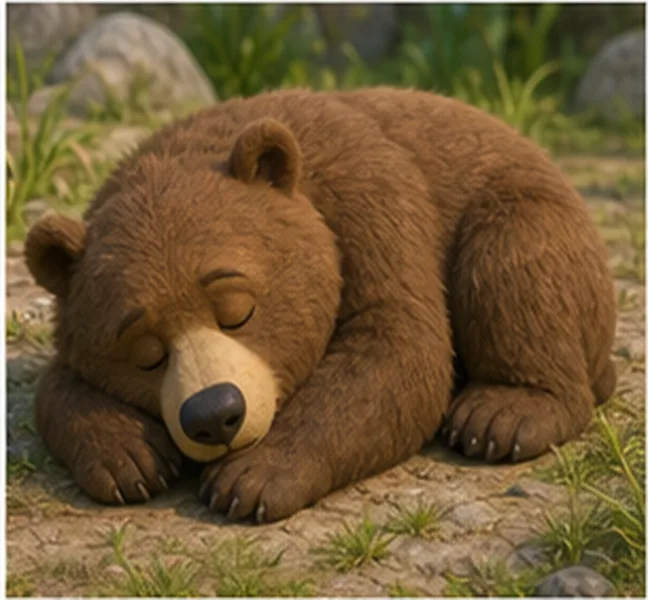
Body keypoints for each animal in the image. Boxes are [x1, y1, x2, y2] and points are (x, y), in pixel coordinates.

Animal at [25, 87, 617, 523]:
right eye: (145, 351)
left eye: (237, 310)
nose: (215, 415)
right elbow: (57, 380)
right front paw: (130, 457)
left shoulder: (370, 200)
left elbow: (398, 348)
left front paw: (250, 479)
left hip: (528, 216)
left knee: (512, 260)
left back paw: (503, 414)